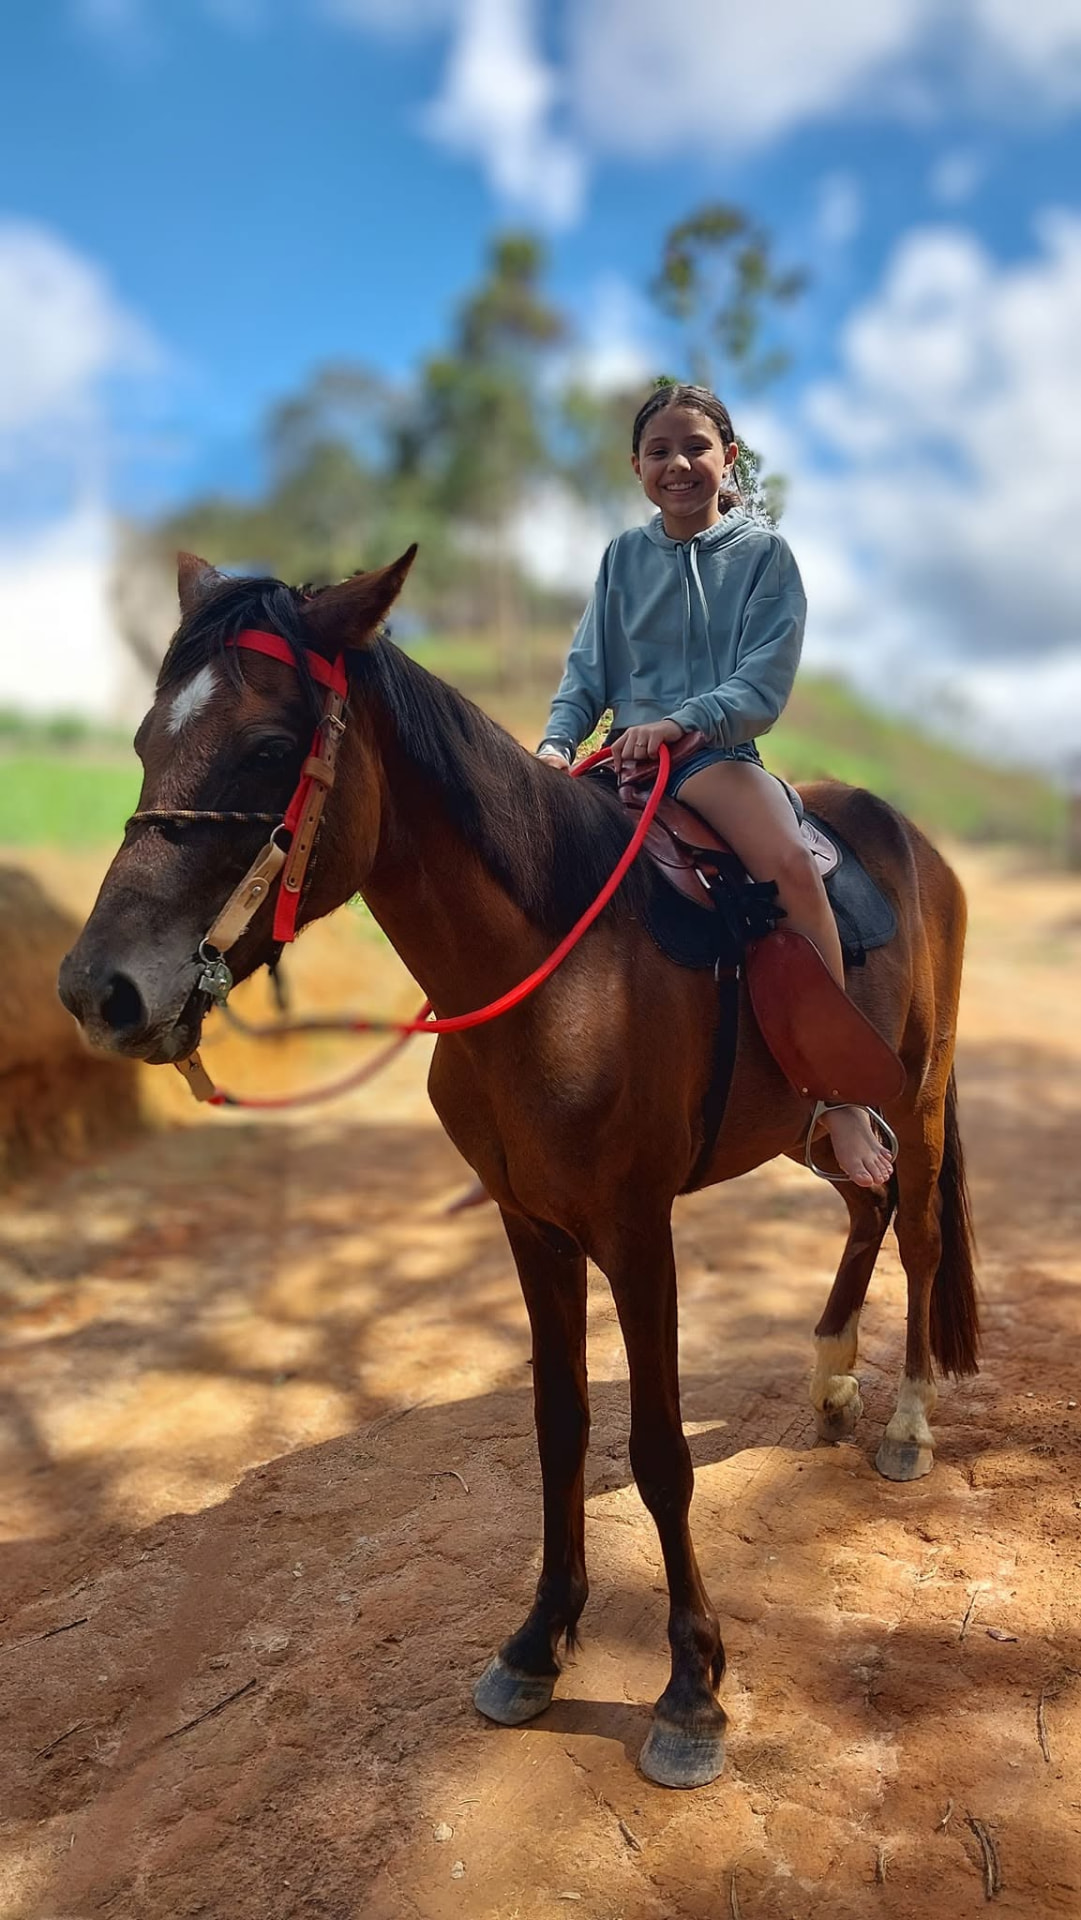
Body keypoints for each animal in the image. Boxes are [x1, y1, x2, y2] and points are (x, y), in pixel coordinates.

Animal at [58, 551, 978, 1790]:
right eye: (148, 738)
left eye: (267, 746)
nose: (97, 990)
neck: (557, 968)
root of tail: (916, 846)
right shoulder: (530, 1224)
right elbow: (558, 1429)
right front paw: (539, 1644)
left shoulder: (635, 1232)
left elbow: (657, 1452)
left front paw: (690, 1691)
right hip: (816, 1123)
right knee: (865, 1201)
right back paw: (833, 1374)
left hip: (916, 1097)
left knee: (918, 1231)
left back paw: (907, 1426)